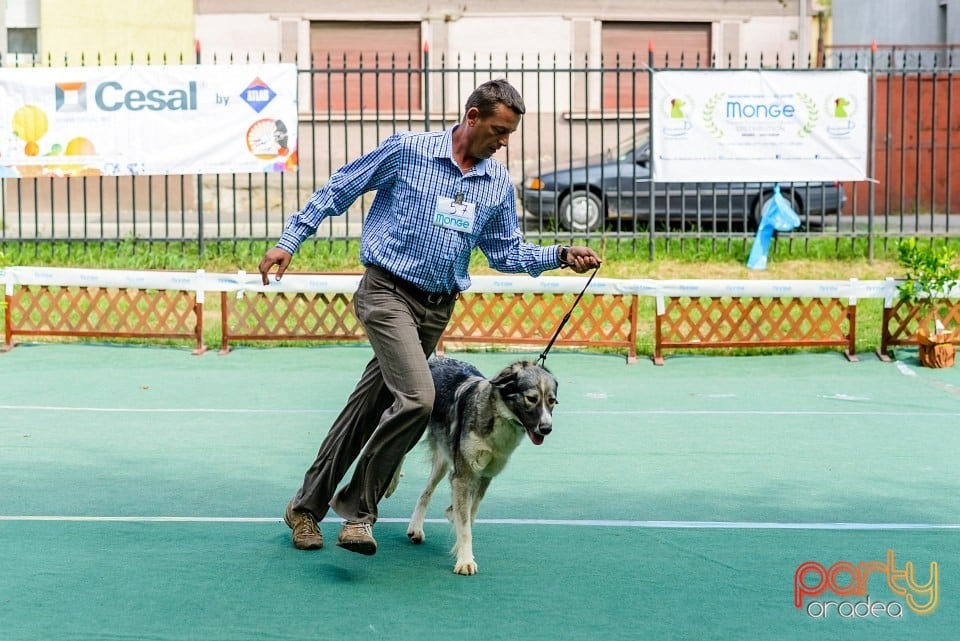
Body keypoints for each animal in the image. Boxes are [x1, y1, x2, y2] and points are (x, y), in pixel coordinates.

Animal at [402, 356, 560, 576]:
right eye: (531, 398)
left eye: (551, 401)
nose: (546, 428)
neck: (499, 417)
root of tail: (435, 358)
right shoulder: (463, 476)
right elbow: (465, 525)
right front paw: (465, 561)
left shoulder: (484, 477)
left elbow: (470, 516)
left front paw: (460, 547)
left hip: (444, 460)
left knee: (426, 491)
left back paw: (417, 528)